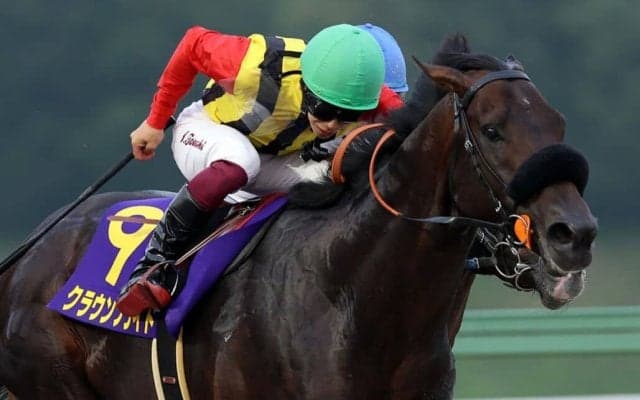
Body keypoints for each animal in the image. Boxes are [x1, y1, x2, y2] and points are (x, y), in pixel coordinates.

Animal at [0, 33, 597, 399]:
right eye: (493, 130)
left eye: (560, 125)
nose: (575, 234)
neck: (351, 291)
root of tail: (29, 254)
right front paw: (146, 133)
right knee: (231, 164)